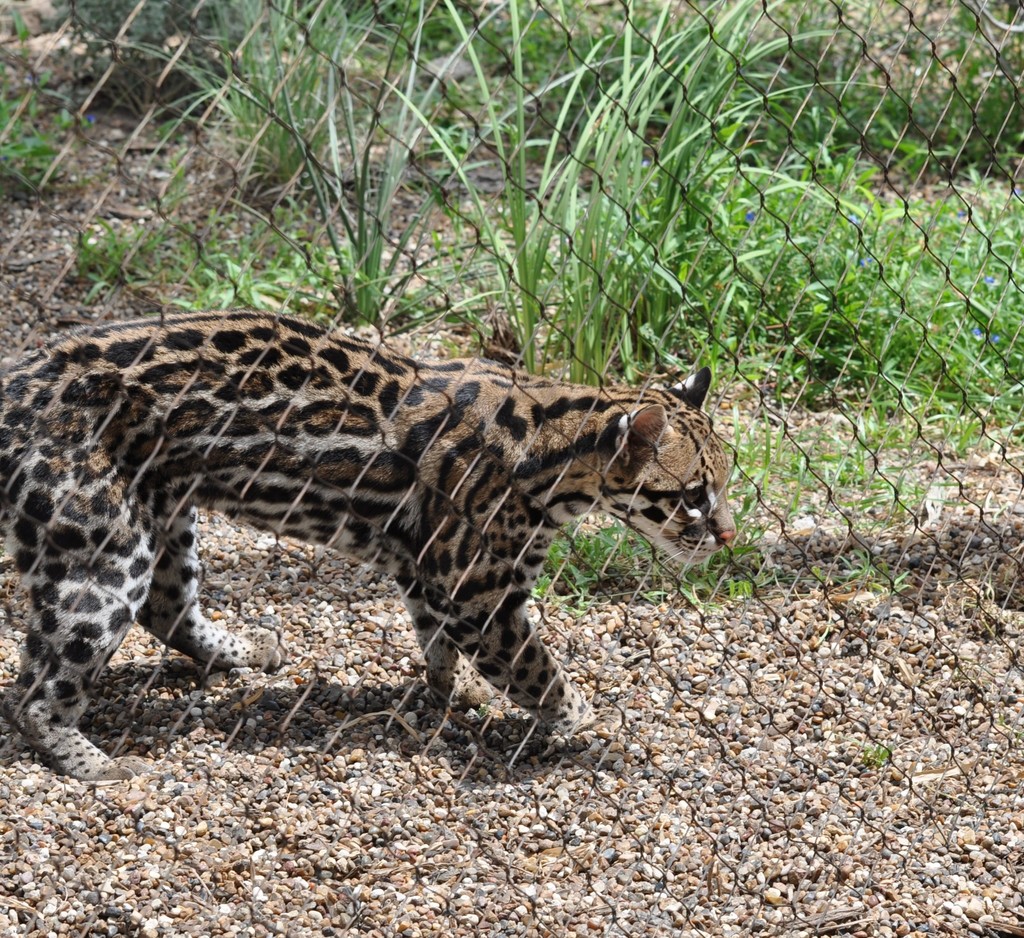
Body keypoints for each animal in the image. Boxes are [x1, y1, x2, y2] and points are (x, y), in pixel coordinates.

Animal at [2, 311, 737, 782]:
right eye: (693, 495)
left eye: (725, 484)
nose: (728, 536)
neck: (556, 444)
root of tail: (17, 377)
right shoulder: (479, 595)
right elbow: (537, 671)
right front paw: (582, 720)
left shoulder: (426, 571)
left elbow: (436, 646)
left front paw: (450, 694)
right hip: (106, 548)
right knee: (35, 692)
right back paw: (92, 764)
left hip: (165, 515)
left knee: (166, 608)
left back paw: (245, 651)